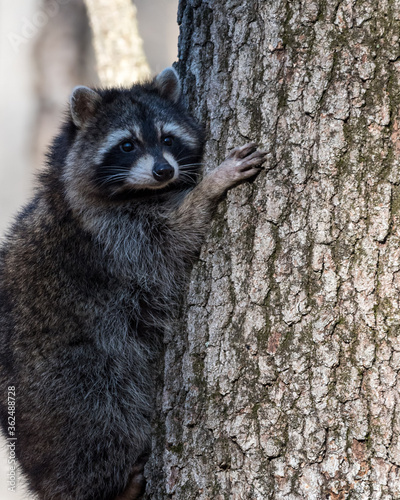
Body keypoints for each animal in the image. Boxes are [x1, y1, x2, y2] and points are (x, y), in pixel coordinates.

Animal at [0, 67, 268, 500]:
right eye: (127, 145)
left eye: (167, 139)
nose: (164, 171)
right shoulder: (112, 237)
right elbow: (171, 241)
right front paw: (208, 188)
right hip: (65, 384)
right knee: (101, 423)